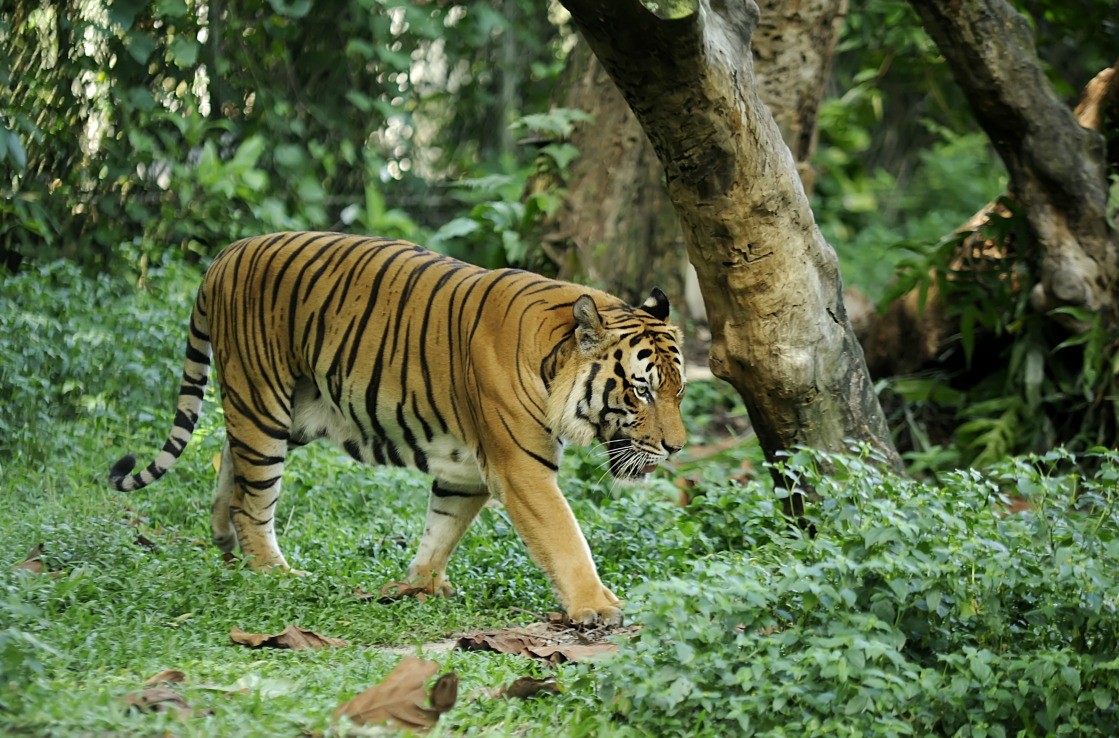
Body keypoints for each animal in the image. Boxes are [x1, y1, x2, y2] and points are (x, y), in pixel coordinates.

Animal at [109, 230, 684, 621]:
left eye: (678, 391)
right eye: (641, 390)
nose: (677, 448)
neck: (553, 358)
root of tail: (224, 255)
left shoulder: (466, 470)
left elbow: (442, 527)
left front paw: (421, 585)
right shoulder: (521, 468)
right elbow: (565, 537)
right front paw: (596, 605)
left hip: (290, 412)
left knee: (231, 466)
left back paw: (225, 544)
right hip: (262, 402)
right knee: (253, 501)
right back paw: (275, 573)